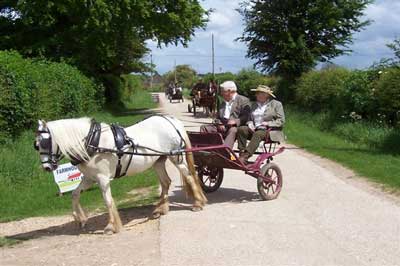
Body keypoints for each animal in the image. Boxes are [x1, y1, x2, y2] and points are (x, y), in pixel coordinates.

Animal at [34, 115, 206, 234]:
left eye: (44, 142)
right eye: (36, 145)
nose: (47, 167)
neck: (92, 143)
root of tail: (170, 120)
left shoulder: (102, 178)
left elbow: (108, 201)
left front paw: (111, 226)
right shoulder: (89, 178)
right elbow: (75, 194)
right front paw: (80, 219)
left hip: (176, 157)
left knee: (189, 176)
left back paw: (198, 203)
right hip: (158, 161)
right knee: (165, 182)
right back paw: (161, 209)